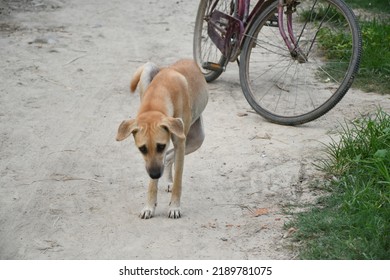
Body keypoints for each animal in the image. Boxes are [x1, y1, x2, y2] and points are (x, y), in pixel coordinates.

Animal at [116, 60, 209, 220]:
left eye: (161, 146)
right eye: (142, 149)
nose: (155, 175)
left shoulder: (179, 143)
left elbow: (178, 180)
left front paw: (174, 207)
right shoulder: (152, 163)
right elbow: (152, 183)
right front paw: (149, 206)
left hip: (196, 139)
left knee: (171, 155)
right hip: (148, 68)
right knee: (168, 157)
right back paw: (167, 180)